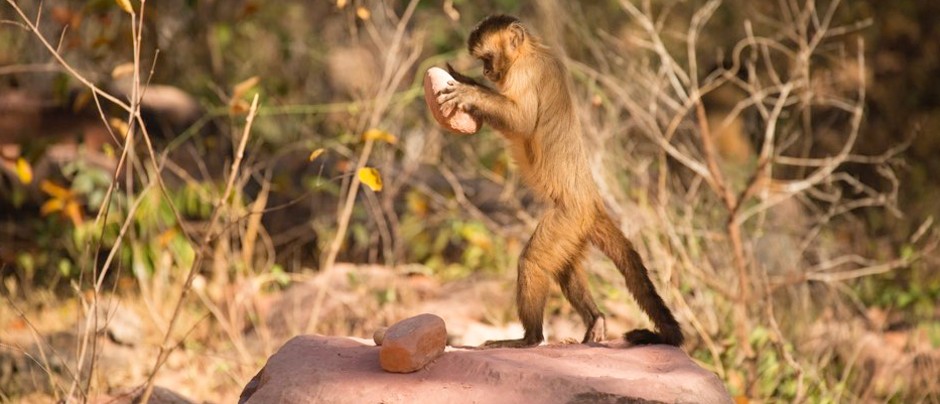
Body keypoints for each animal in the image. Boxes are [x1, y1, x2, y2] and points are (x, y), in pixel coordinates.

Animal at [434, 15, 684, 348]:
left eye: (488, 59)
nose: (485, 72)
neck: (531, 51)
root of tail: (592, 199)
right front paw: (466, 81)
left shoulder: (525, 72)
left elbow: (521, 121)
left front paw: (471, 93)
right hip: (577, 228)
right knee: (565, 267)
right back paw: (596, 319)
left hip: (570, 215)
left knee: (533, 262)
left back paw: (530, 338)